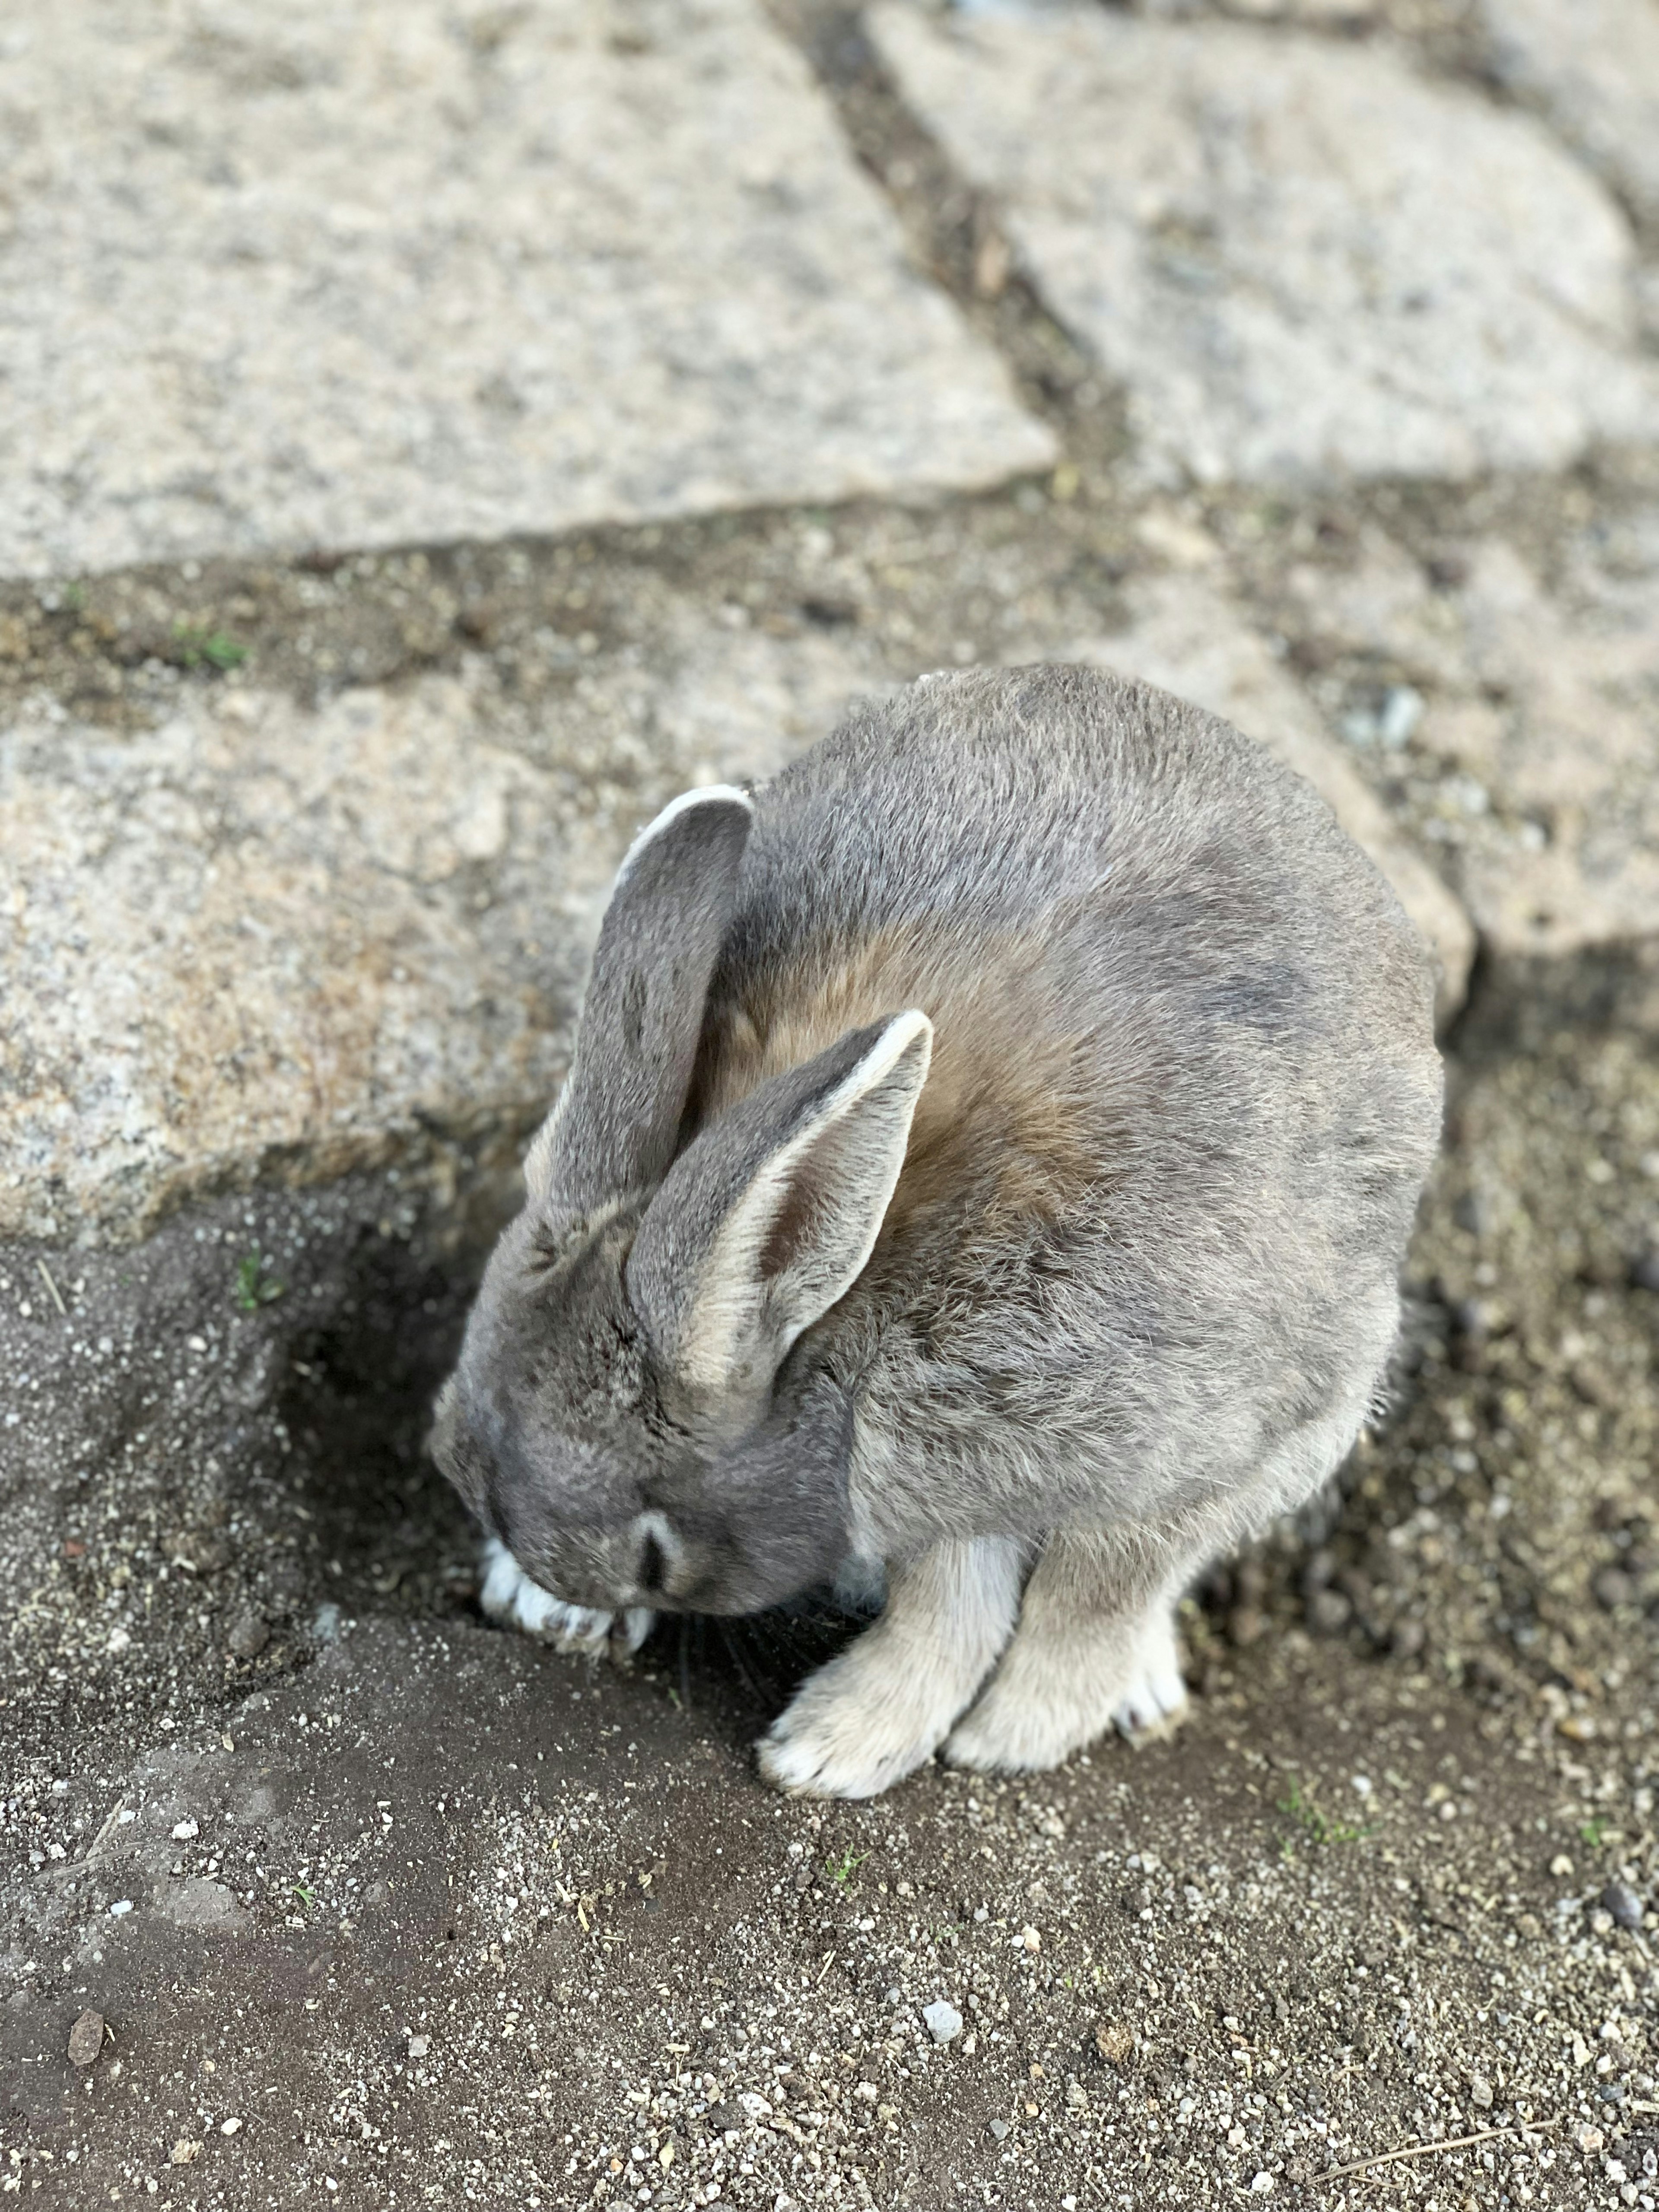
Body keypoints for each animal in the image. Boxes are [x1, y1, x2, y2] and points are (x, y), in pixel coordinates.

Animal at [431, 668, 1442, 1796]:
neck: (841, 1316)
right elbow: (955, 1596)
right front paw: (847, 1740)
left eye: (654, 1547)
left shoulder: (1189, 1446)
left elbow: (1089, 1592)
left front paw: (953, 1741)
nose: (560, 1571)